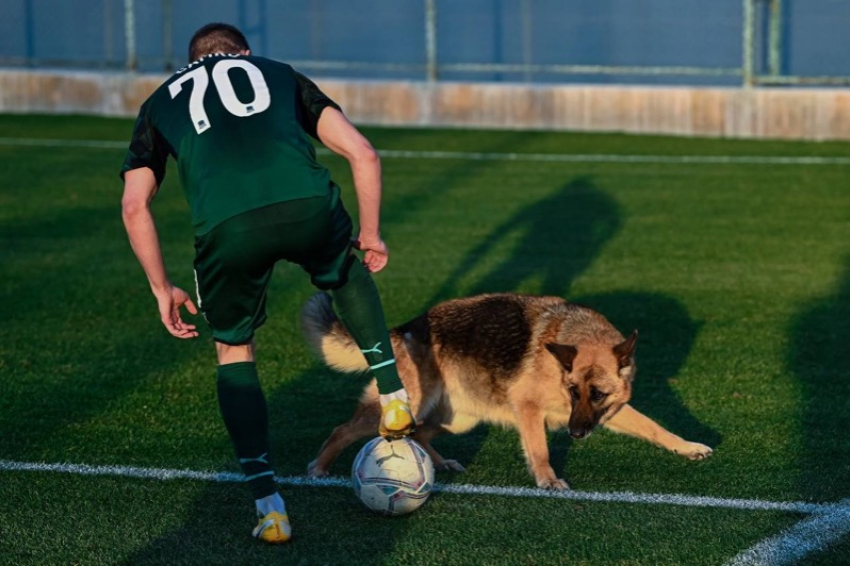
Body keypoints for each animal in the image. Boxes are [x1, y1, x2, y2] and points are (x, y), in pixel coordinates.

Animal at [298, 296, 708, 490]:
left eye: (598, 394)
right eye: (572, 390)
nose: (576, 433)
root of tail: (405, 328)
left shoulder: (610, 412)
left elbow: (657, 428)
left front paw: (688, 447)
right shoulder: (528, 408)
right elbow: (539, 449)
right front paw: (547, 480)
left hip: (459, 419)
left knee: (421, 433)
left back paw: (440, 463)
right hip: (406, 404)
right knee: (343, 430)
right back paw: (318, 469)